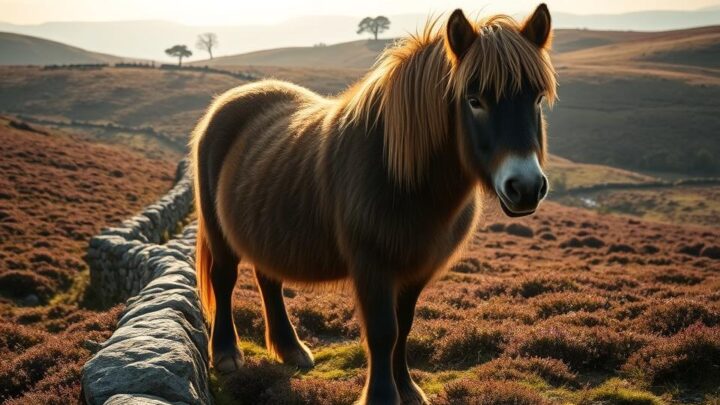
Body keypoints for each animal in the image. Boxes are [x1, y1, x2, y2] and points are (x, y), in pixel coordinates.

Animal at [191, 4, 556, 404]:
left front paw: (408, 389)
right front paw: (382, 395)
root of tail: (230, 101)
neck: (401, 176)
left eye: (537, 98)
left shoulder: (416, 269)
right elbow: (383, 332)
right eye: (474, 100)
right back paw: (227, 354)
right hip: (219, 234)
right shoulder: (372, 266)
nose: (525, 187)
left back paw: (291, 350)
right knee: (224, 280)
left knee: (268, 280)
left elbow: (404, 328)